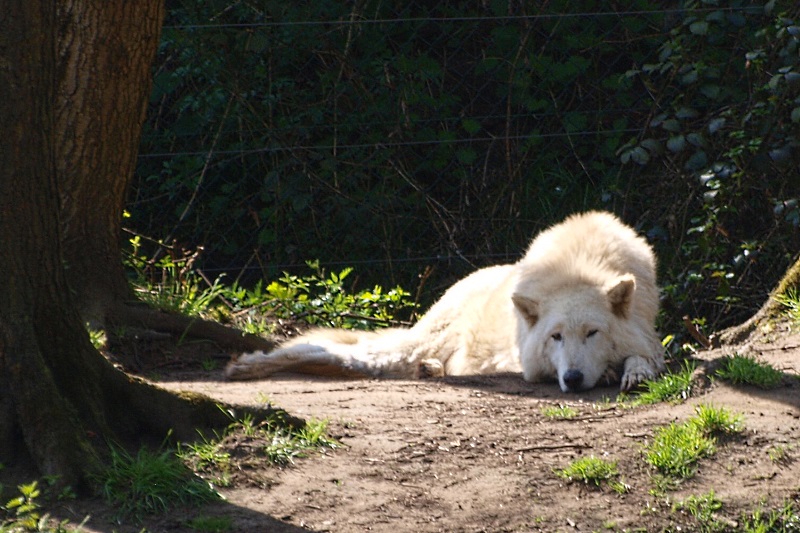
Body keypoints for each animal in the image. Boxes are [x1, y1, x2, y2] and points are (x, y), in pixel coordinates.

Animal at [225, 211, 666, 392]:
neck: (580, 265)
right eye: (555, 337)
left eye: (592, 333)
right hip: (403, 348)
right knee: (331, 350)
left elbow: (644, 356)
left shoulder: (648, 335)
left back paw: (433, 370)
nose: (572, 379)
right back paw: (245, 366)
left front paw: (631, 372)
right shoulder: (524, 363)